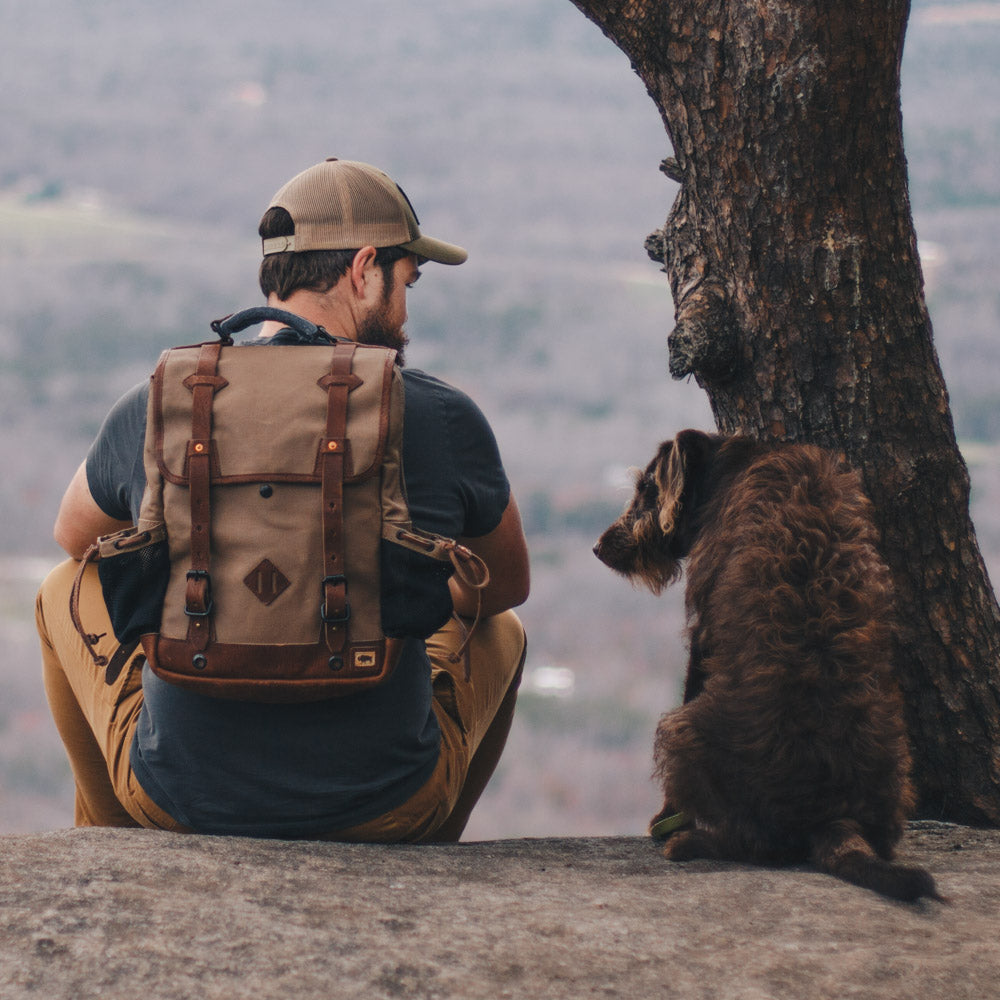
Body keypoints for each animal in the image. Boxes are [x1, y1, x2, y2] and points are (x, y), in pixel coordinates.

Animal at [596, 426, 940, 904]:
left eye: (647, 488)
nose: (599, 547)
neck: (735, 464)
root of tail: (833, 815)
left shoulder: (702, 633)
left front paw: (665, 818)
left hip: (680, 730)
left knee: (757, 845)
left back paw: (692, 840)